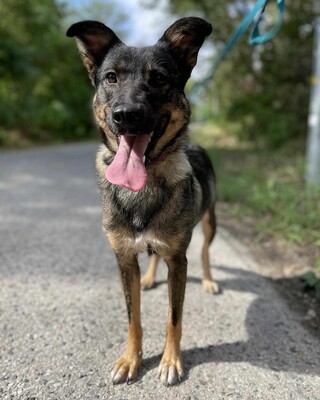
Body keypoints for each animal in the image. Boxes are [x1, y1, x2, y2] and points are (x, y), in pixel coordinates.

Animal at [66, 17, 219, 386]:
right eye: (111, 77)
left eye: (160, 78)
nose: (127, 115)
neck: (142, 185)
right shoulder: (124, 259)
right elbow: (132, 317)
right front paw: (130, 359)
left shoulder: (178, 261)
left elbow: (173, 318)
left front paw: (170, 361)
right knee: (152, 255)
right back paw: (150, 278)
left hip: (210, 220)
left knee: (205, 252)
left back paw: (209, 280)